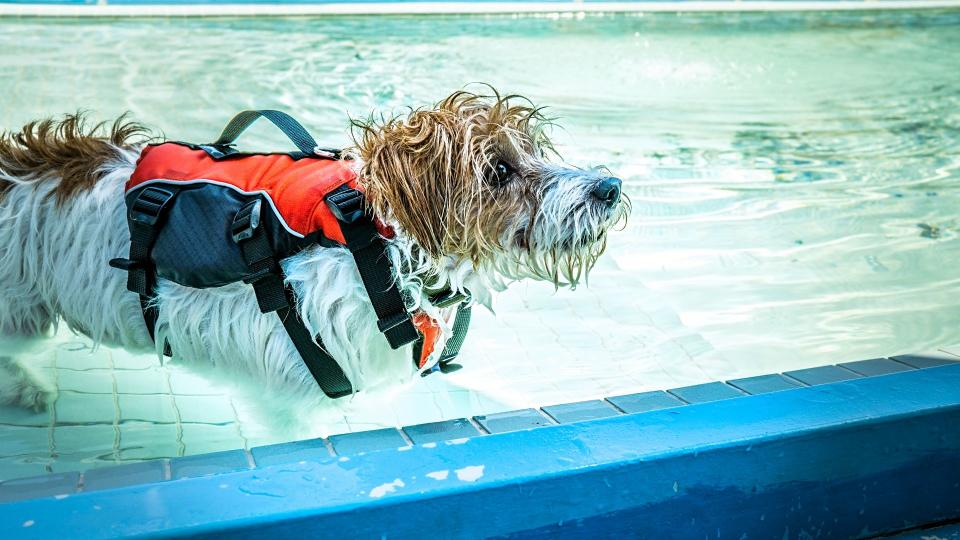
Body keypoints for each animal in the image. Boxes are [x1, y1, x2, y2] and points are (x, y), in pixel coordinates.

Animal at [0, 88, 632, 418]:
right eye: (499, 170)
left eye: (535, 151)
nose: (609, 187)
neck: (383, 251)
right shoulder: (297, 400)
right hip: (21, 310)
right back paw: (29, 388)